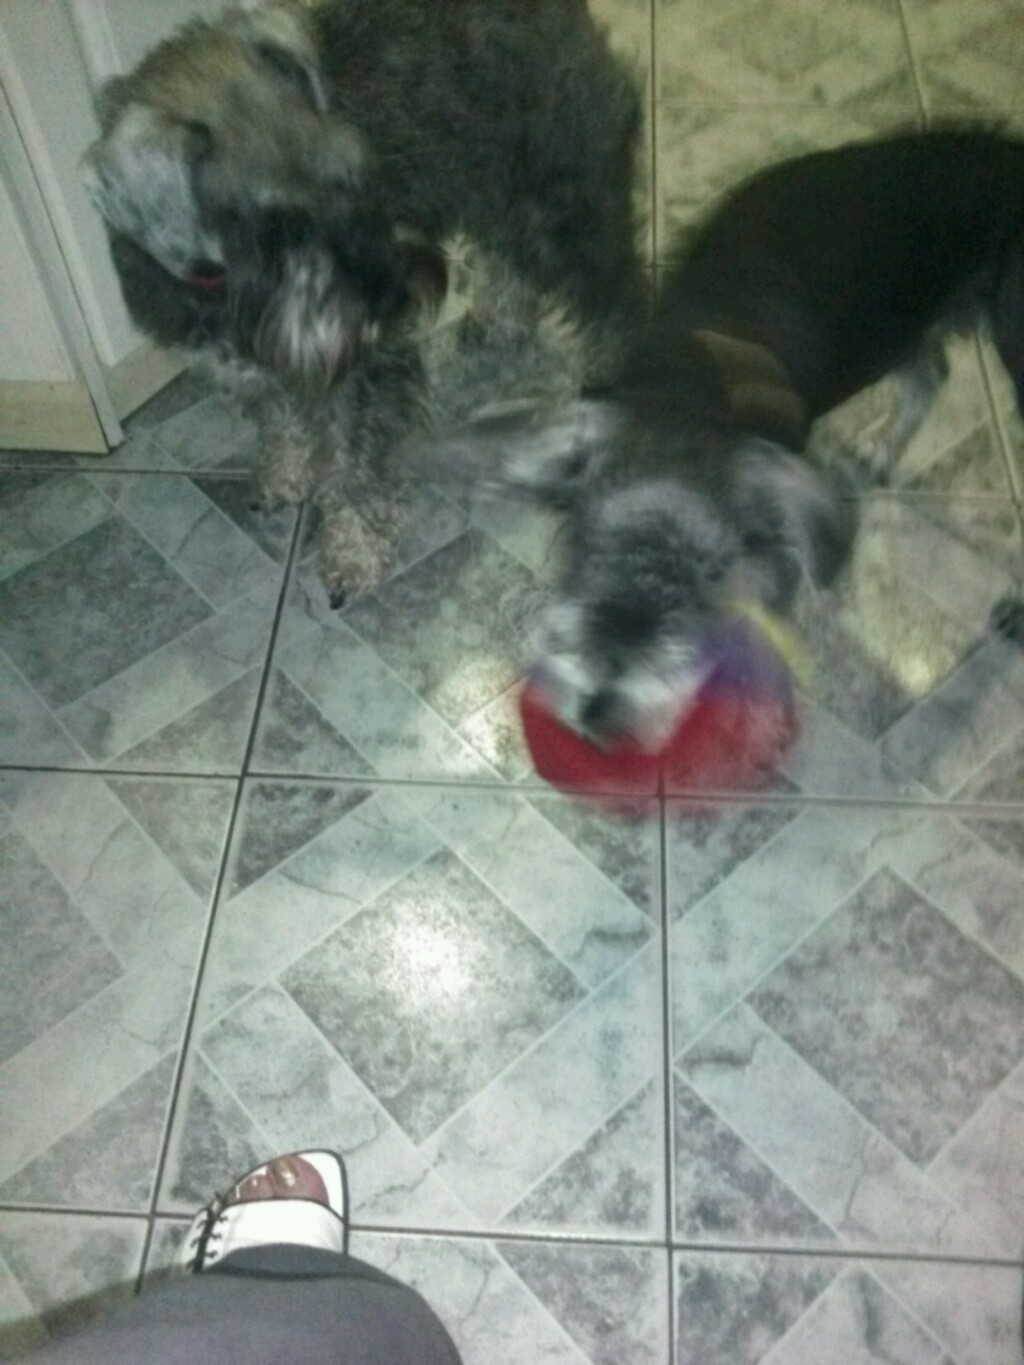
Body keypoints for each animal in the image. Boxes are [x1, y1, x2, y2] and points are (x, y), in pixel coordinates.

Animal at [85, 0, 646, 605]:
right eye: (274, 227)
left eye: (349, 176)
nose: (396, 294)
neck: (221, 287)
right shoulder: (257, 368)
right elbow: (283, 418)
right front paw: (286, 474)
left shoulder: (360, 378)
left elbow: (354, 467)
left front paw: (354, 554)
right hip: (493, 186)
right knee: (508, 258)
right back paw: (500, 318)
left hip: (562, 198)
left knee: (612, 291)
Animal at [418, 127, 1024, 748]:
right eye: (583, 546)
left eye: (709, 582)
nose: (599, 712)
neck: (689, 386)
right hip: (900, 331)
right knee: (932, 371)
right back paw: (877, 453)